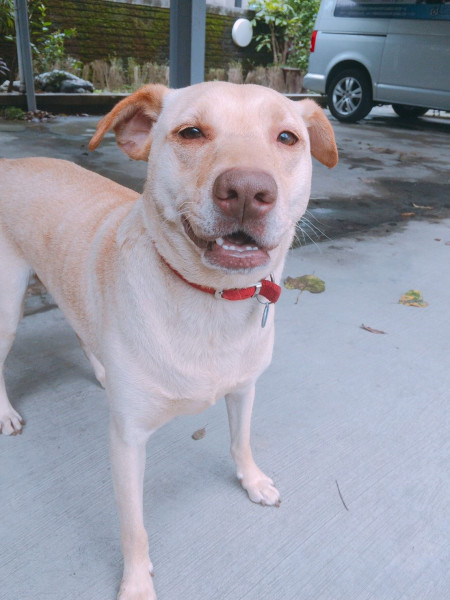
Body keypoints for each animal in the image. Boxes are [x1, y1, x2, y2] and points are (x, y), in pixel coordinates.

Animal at [0, 81, 338, 600]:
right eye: (191, 133)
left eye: (287, 138)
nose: (247, 191)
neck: (211, 301)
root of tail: (9, 163)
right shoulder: (127, 442)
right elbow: (133, 528)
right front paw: (137, 582)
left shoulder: (244, 388)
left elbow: (241, 441)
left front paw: (252, 480)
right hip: (7, 308)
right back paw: (6, 413)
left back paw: (101, 369)